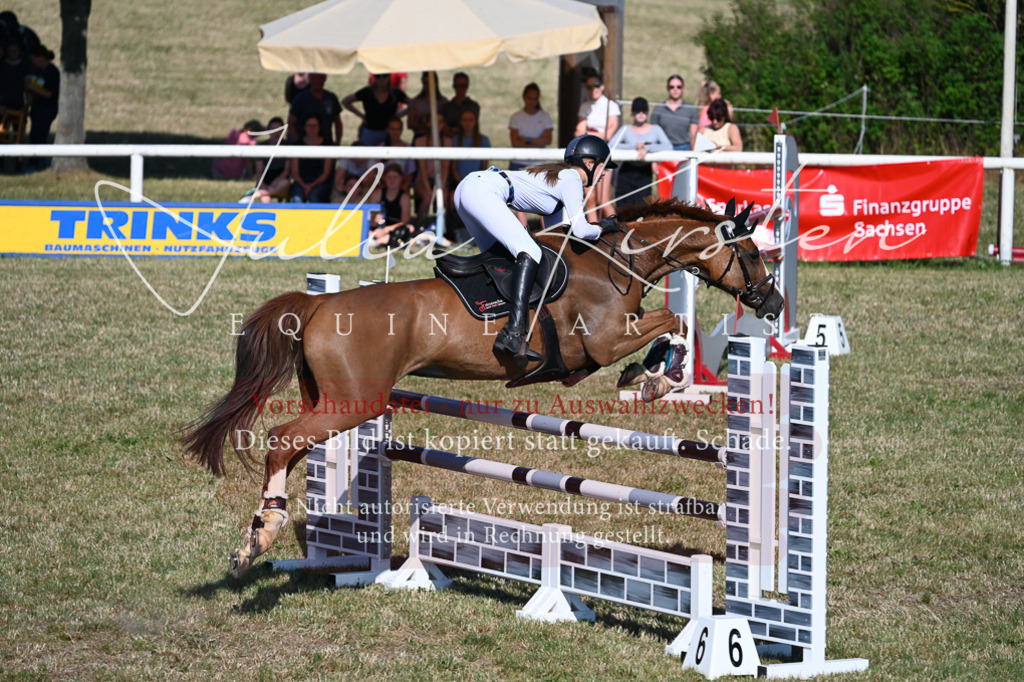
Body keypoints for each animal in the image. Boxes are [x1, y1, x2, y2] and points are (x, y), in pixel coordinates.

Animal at [182, 198, 784, 577]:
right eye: (755, 254)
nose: (774, 304)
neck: (617, 261)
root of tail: (320, 302)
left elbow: (669, 322)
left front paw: (652, 375)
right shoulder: (605, 340)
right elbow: (672, 321)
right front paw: (654, 378)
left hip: (331, 400)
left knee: (293, 447)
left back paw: (262, 538)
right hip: (355, 402)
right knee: (281, 439)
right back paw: (263, 534)